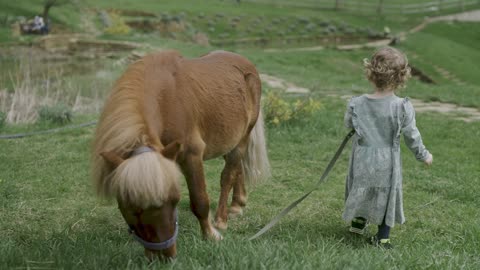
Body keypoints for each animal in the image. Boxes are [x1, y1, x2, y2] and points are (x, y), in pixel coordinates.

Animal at [91, 49, 270, 258]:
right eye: (128, 207)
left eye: (174, 200)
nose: (163, 256)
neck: (165, 99)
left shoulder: (191, 155)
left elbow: (200, 201)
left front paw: (211, 235)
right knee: (236, 166)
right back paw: (236, 205)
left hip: (243, 137)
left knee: (228, 174)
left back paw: (221, 218)